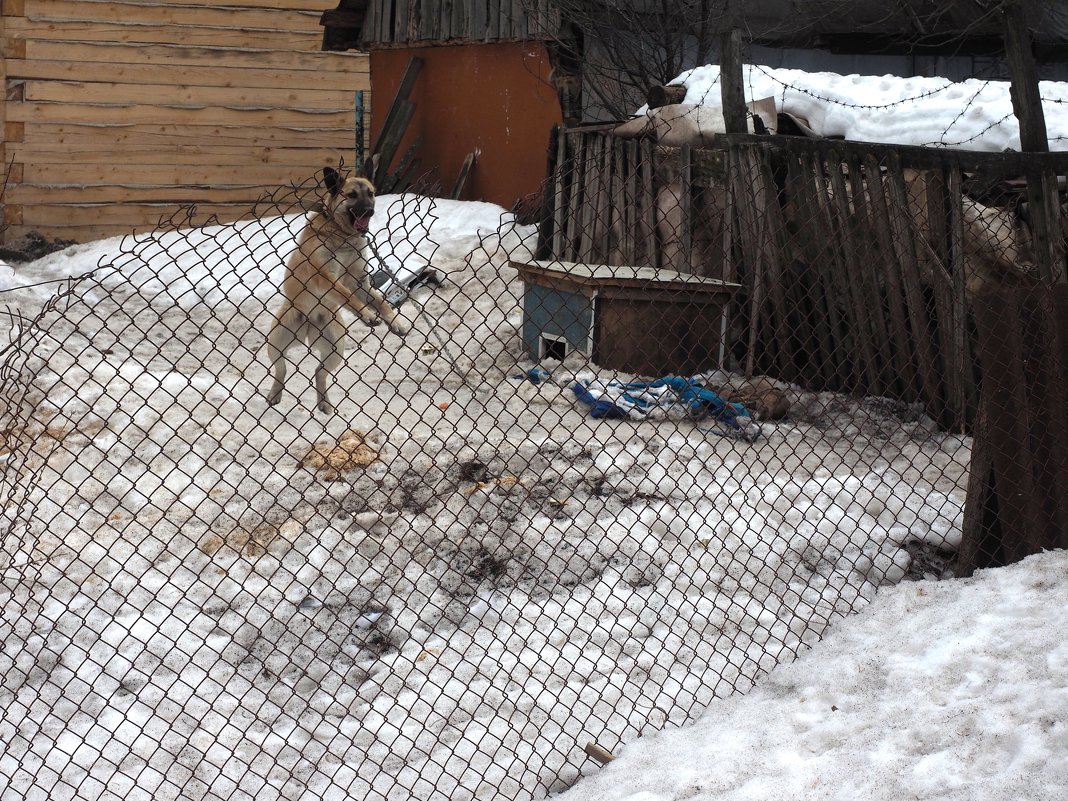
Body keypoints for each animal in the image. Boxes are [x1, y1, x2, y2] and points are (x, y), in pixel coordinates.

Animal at [267, 163, 407, 414]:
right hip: (276, 341)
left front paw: (394, 321)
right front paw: (367, 314)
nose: (368, 212)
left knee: (319, 372)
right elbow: (347, 295)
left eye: (370, 194)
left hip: (335, 350)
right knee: (281, 368)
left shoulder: (359, 281)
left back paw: (324, 402)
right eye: (351, 195)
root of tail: (309, 325)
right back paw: (275, 393)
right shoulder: (326, 278)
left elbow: (380, 301)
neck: (343, 236)